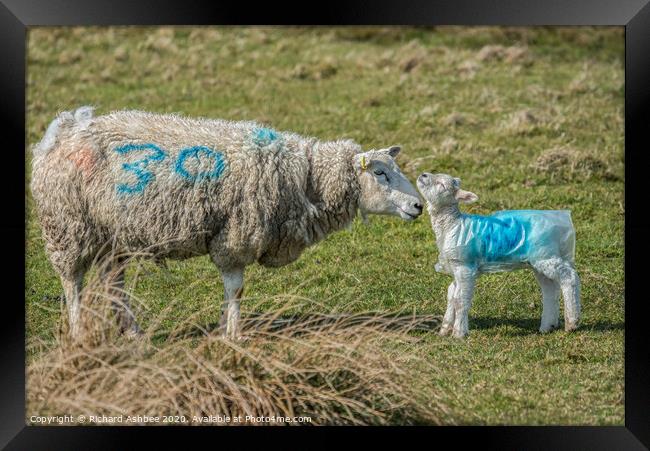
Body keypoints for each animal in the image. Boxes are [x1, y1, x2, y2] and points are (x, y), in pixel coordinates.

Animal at [30, 107, 422, 340]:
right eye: (381, 173)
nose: (418, 205)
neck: (305, 178)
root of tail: (62, 130)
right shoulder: (234, 237)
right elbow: (236, 289)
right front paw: (233, 335)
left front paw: (224, 329)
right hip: (67, 226)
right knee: (72, 282)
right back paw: (79, 331)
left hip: (110, 234)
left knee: (114, 283)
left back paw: (133, 331)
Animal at [418, 173, 580, 340]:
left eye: (442, 185)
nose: (423, 175)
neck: (453, 225)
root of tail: (562, 222)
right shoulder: (456, 266)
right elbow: (451, 295)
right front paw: (445, 330)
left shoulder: (465, 266)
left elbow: (460, 299)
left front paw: (459, 333)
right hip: (539, 260)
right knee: (550, 289)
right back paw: (548, 326)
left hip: (545, 254)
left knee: (569, 276)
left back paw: (572, 322)